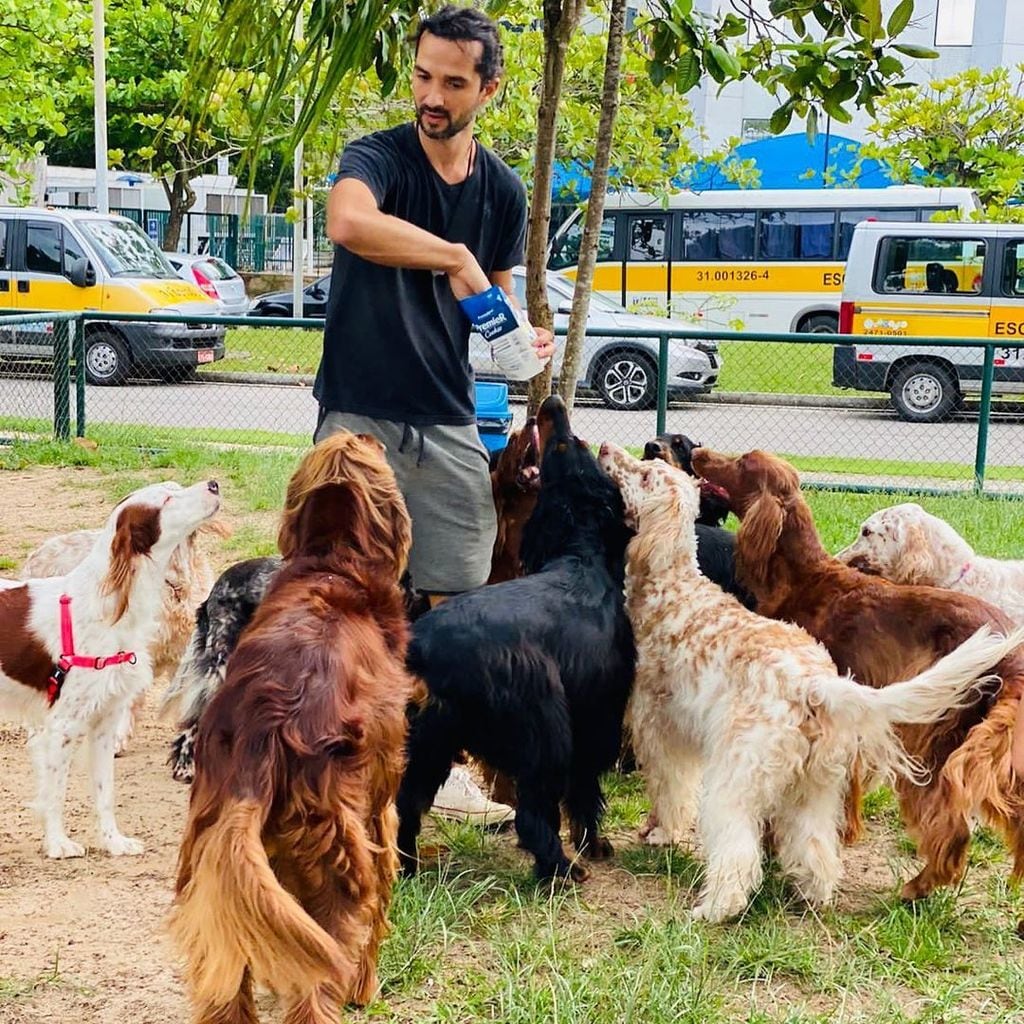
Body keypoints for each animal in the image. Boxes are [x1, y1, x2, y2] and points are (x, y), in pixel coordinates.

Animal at [0, 479, 222, 856]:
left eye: (175, 487)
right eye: (167, 499)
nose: (214, 483)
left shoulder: (105, 724)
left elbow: (104, 794)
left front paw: (113, 841)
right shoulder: (63, 726)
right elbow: (56, 794)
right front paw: (58, 844)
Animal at [169, 432, 417, 1024]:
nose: (374, 433)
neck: (333, 564)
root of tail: (262, 739)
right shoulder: (382, 805)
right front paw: (366, 988)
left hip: (214, 862)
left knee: (225, 982)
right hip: (337, 867)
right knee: (316, 985)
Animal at [395, 395, 634, 884]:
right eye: (573, 442)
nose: (552, 402)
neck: (581, 559)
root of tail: (425, 649)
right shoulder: (596, 715)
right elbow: (585, 790)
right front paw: (594, 844)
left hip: (429, 739)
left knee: (405, 806)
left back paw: (408, 867)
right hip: (544, 728)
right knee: (532, 815)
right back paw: (561, 871)